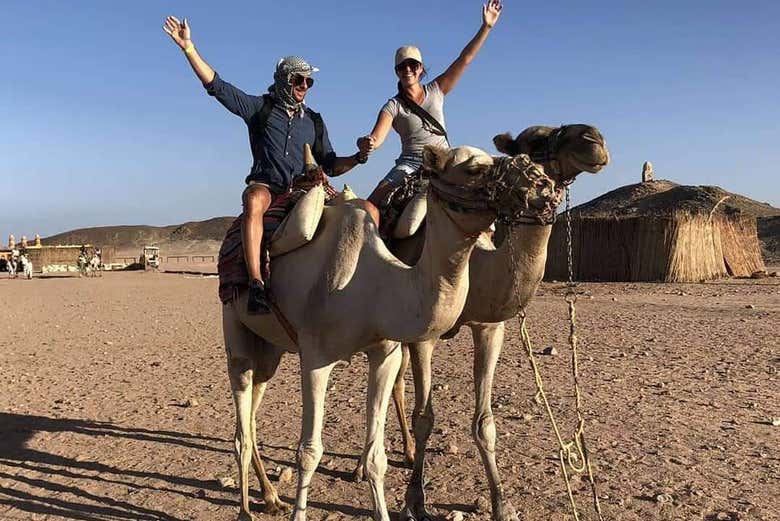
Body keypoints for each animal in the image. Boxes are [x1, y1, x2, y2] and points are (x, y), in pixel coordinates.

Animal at [219, 143, 560, 520]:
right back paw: (245, 510)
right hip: (235, 326)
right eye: (473, 169)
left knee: (252, 412)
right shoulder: (315, 358)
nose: (540, 181)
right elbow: (309, 452)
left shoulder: (385, 353)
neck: (371, 284)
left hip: (271, 348)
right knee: (241, 415)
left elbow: (376, 458)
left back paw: (270, 496)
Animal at [354, 123, 608, 520]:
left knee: (394, 384)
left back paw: (406, 454)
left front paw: (501, 504)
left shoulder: (489, 328)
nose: (594, 141)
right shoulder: (424, 336)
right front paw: (415, 501)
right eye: (535, 140)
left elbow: (485, 423)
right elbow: (425, 418)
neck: (475, 262)